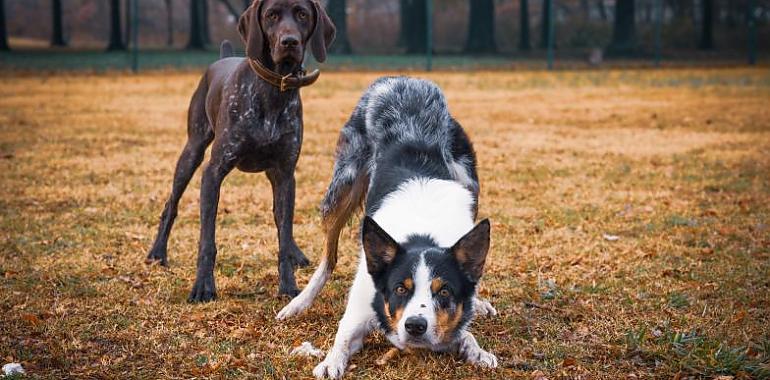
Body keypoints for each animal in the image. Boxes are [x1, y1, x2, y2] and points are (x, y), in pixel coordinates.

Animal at [146, 0, 334, 302]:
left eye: (302, 14)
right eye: (272, 15)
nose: (289, 41)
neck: (273, 88)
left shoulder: (285, 173)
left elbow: (283, 234)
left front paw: (288, 286)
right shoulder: (213, 172)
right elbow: (207, 241)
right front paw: (203, 287)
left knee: (281, 220)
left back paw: (296, 253)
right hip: (192, 151)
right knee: (171, 204)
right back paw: (157, 253)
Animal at [280, 76, 496, 378]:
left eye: (443, 291)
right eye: (400, 289)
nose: (415, 326)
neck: (422, 231)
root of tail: (404, 80)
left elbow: (462, 330)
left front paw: (476, 348)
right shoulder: (359, 310)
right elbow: (342, 335)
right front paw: (330, 362)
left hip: (468, 179)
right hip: (342, 186)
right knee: (329, 256)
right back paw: (298, 303)